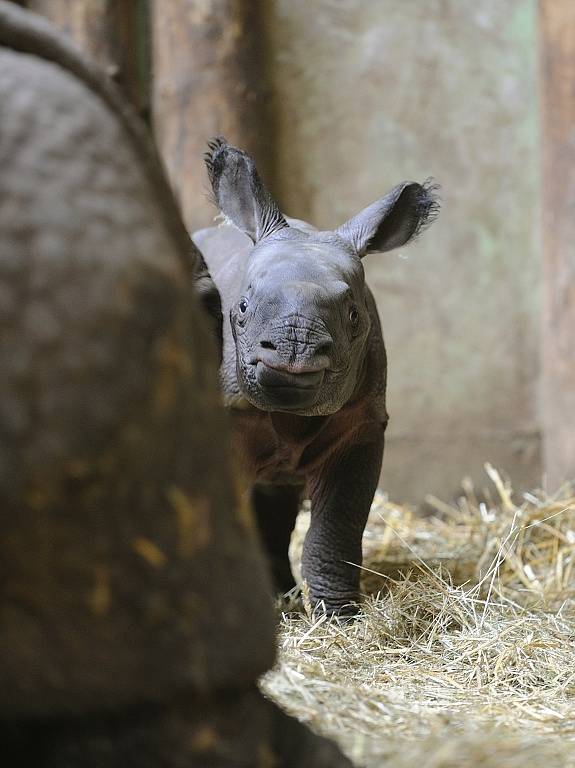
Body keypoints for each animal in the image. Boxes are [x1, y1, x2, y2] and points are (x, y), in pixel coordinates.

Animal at [194, 140, 440, 616]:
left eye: (355, 316)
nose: (295, 350)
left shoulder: (362, 424)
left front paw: (339, 615)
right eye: (242, 308)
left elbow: (336, 528)